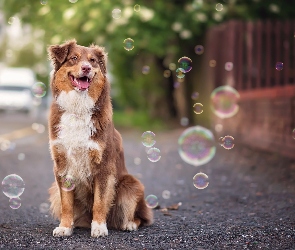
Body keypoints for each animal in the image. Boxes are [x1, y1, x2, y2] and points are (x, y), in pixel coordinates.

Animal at [47, 39, 154, 236]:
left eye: (93, 61)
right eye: (74, 58)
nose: (87, 68)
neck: (78, 109)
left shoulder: (103, 166)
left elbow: (100, 201)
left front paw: (98, 227)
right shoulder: (62, 165)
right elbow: (66, 203)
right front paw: (64, 227)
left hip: (131, 184)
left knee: (141, 216)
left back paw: (129, 224)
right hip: (53, 190)